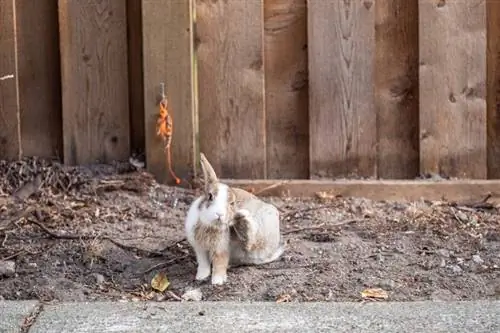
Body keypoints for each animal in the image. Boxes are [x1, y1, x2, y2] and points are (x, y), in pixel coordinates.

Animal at [185, 152, 286, 284]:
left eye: (232, 203)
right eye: (210, 196)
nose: (219, 214)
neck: (211, 226)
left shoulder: (222, 248)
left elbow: (220, 263)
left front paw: (217, 281)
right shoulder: (199, 249)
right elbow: (203, 263)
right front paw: (201, 276)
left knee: (250, 243)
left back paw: (242, 219)